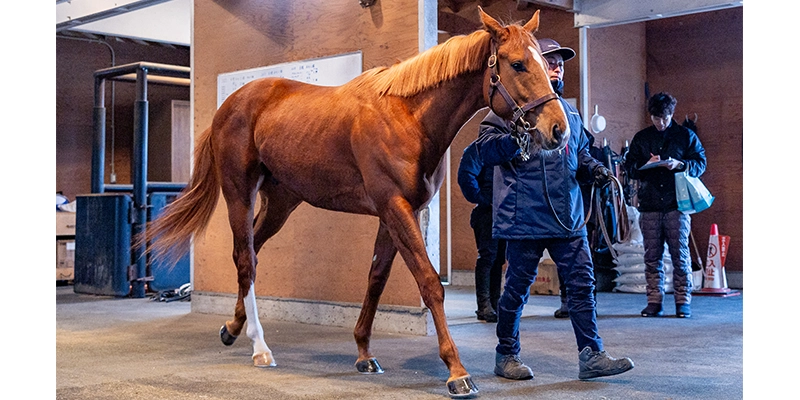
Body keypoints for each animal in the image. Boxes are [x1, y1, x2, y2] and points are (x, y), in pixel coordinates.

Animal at [142, 8, 569, 398]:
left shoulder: (396, 213)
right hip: (239, 194)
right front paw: (457, 371)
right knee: (245, 258)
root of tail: (228, 106)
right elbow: (430, 283)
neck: (409, 117)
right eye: (517, 64)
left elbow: (376, 278)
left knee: (251, 255)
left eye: (544, 63)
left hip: (281, 203)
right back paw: (260, 347)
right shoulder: (396, 208)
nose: (558, 130)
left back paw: (233, 329)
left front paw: (364, 353)